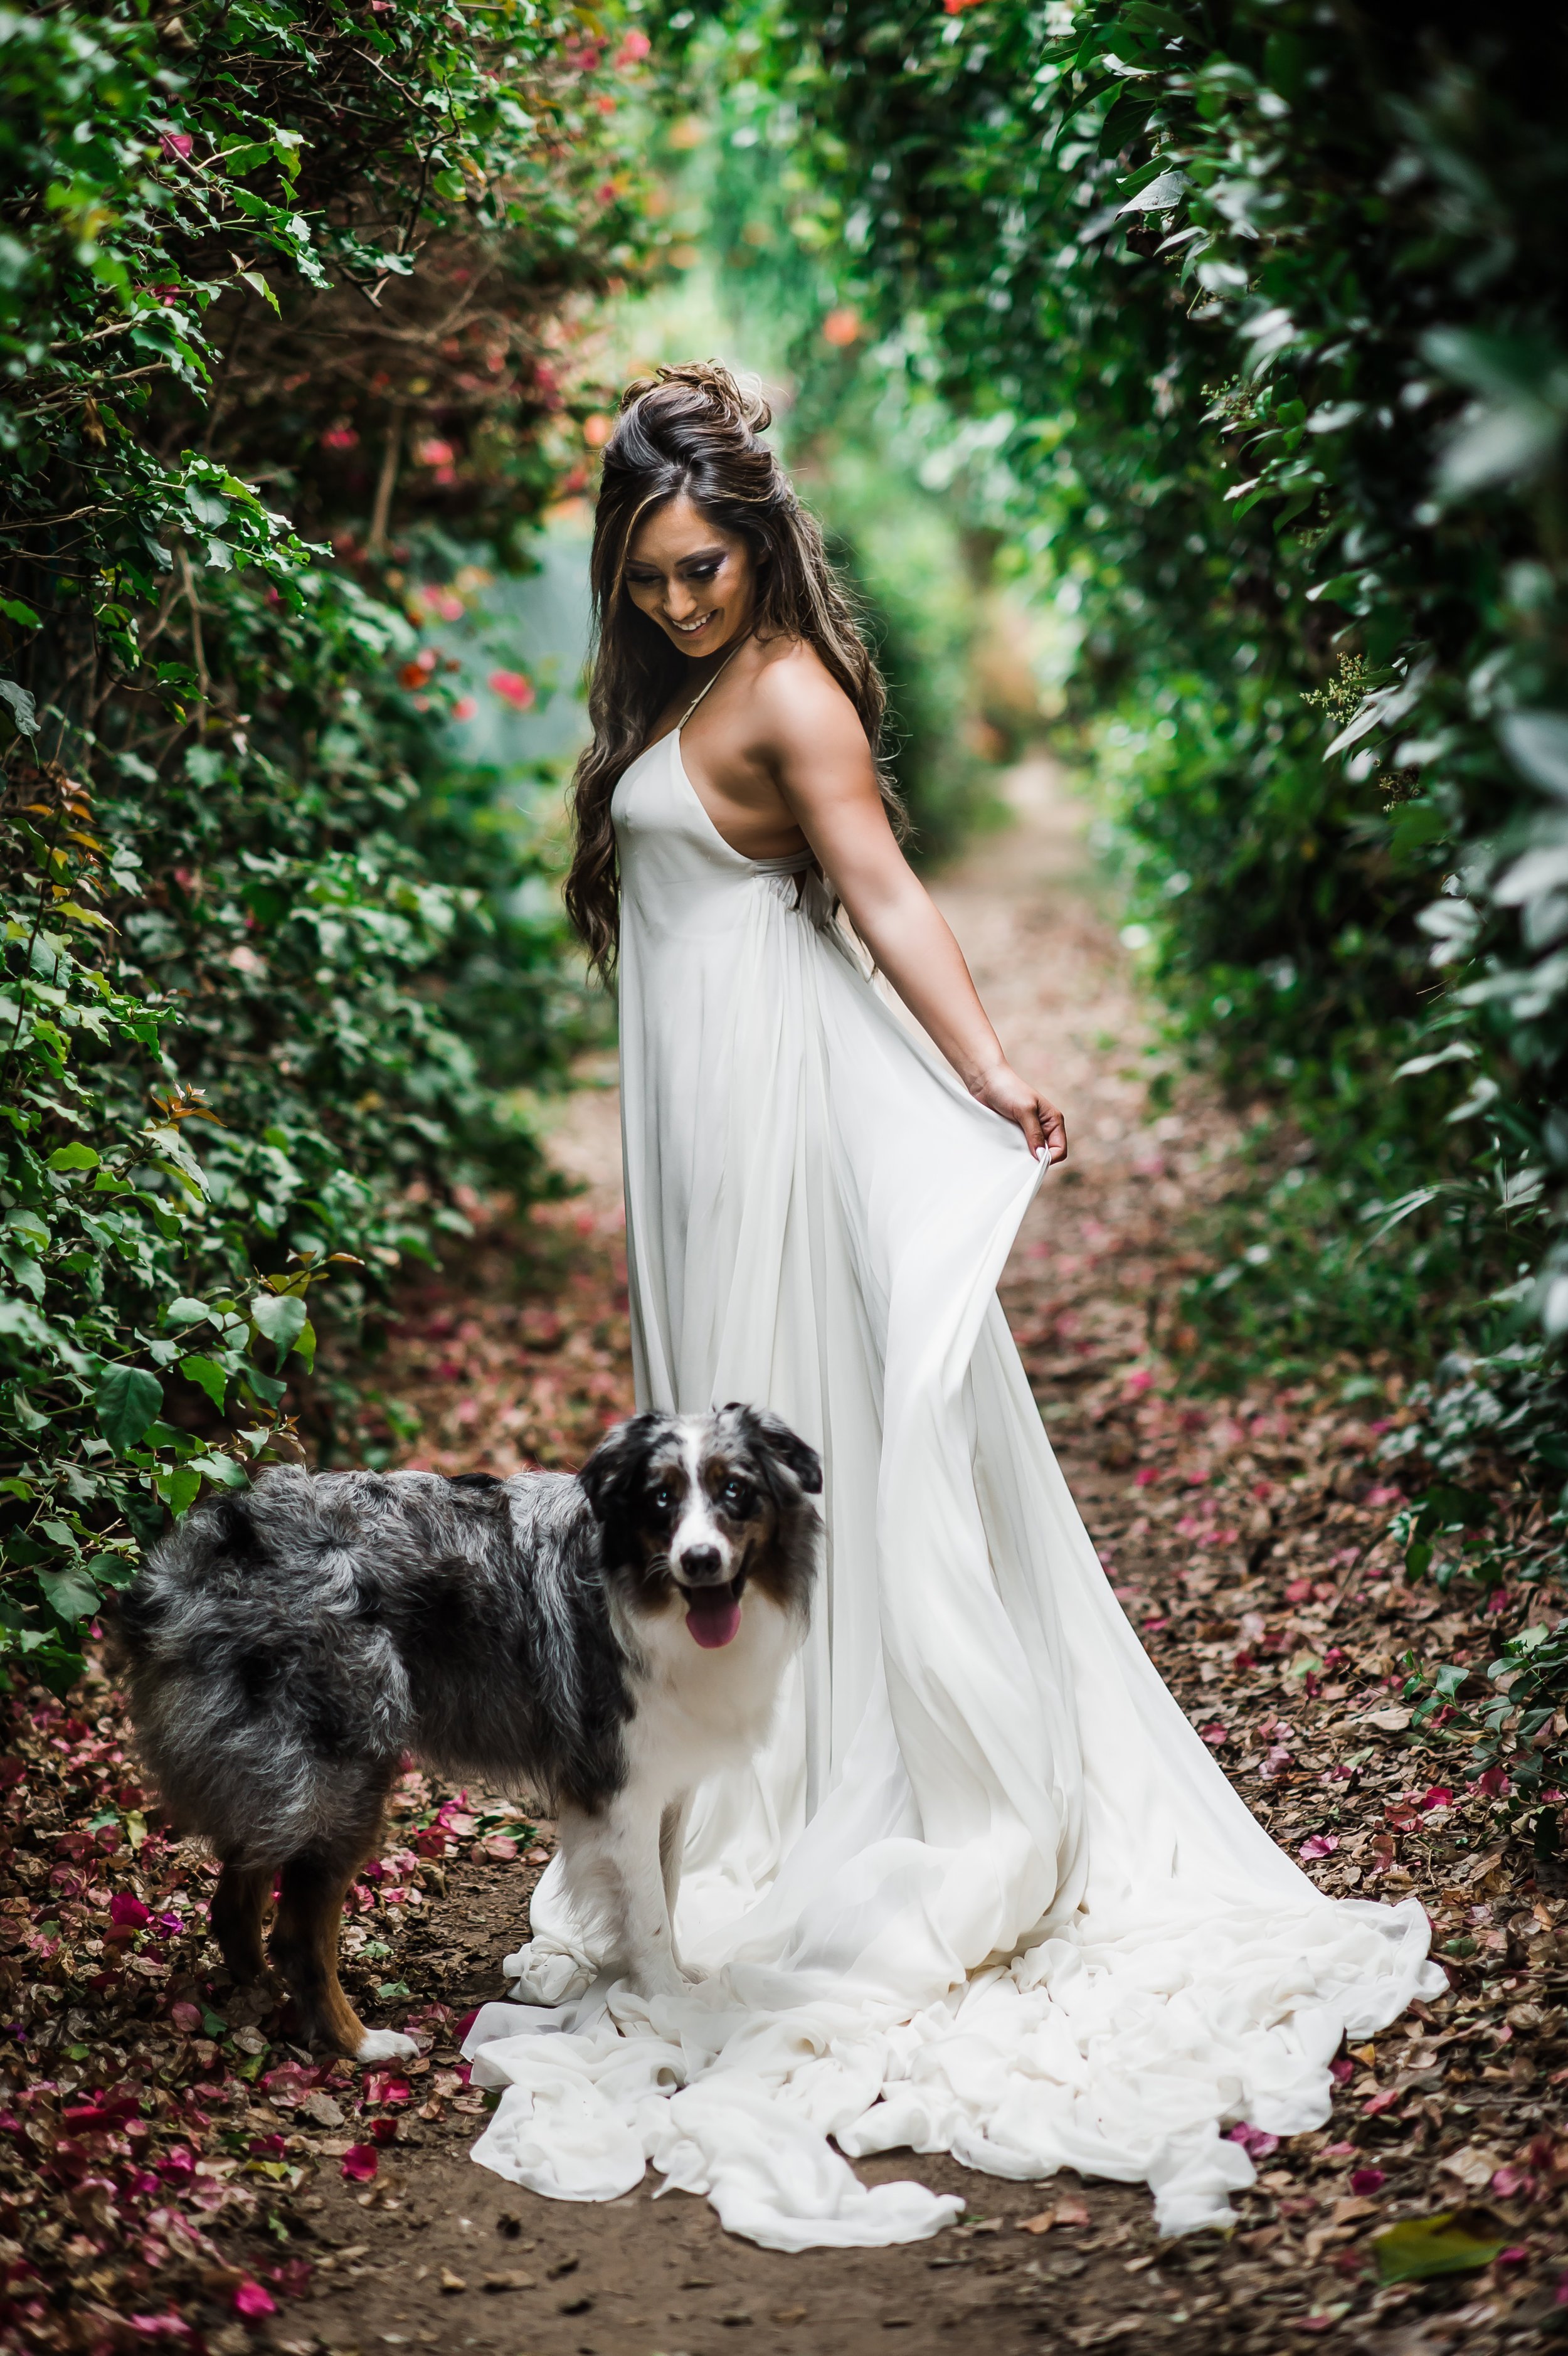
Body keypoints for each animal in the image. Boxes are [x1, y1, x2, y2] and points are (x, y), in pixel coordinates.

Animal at [113, 1404, 819, 2054]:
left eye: (736, 1491)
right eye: (661, 1498)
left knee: (235, 1904)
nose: (699, 1561)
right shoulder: (621, 1787)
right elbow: (646, 1915)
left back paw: (261, 2001)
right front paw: (670, 2007)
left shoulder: (665, 1784)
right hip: (341, 1778)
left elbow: (665, 1893)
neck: (646, 1596)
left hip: (274, 1781)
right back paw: (361, 2043)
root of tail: (195, 1561)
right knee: (296, 1936)